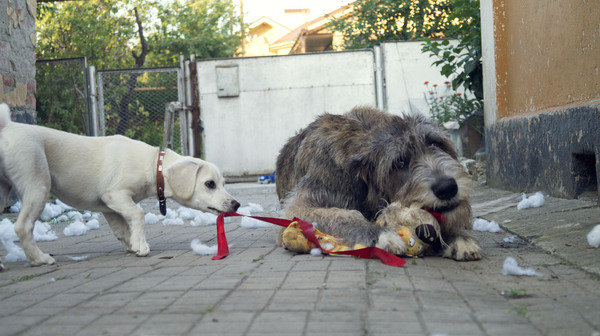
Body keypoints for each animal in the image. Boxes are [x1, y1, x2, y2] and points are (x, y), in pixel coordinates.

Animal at [0, 103, 239, 270]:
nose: (236, 204)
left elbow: (123, 229)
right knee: (22, 227)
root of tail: (7, 126)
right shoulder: (115, 195)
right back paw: (39, 259)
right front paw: (141, 246)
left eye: (222, 183)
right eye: (210, 184)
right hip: (37, 186)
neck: (153, 164)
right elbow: (138, 214)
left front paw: (133, 244)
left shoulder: (109, 208)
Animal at [274, 106, 480, 262]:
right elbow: (346, 215)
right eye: (399, 163)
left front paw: (460, 237)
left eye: (435, 144)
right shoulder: (302, 204)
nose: (447, 188)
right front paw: (382, 234)